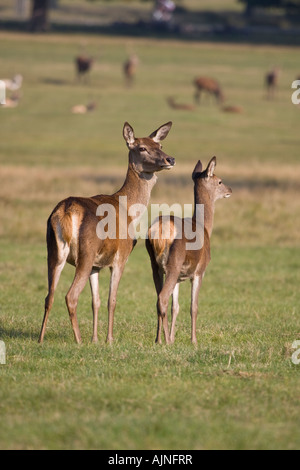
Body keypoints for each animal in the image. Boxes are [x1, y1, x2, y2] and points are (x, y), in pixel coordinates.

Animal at [38, 121, 175, 344]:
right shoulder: (121, 256)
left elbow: (96, 301)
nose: (169, 159)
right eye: (141, 148)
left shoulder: (96, 265)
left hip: (53, 251)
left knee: (49, 296)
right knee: (70, 296)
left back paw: (41, 339)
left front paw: (96, 339)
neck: (129, 211)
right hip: (85, 251)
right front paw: (109, 339)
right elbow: (112, 299)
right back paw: (78, 341)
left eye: (160, 145)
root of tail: (66, 211)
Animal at [145, 156, 232, 344]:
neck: (204, 227)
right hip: (174, 262)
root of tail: (161, 230)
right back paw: (166, 342)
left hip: (155, 265)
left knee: (158, 299)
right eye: (219, 181)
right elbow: (194, 306)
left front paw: (173, 336)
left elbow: (176, 307)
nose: (230, 189)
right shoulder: (200, 271)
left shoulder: (179, 277)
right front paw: (194, 341)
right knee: (162, 299)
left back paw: (159, 340)